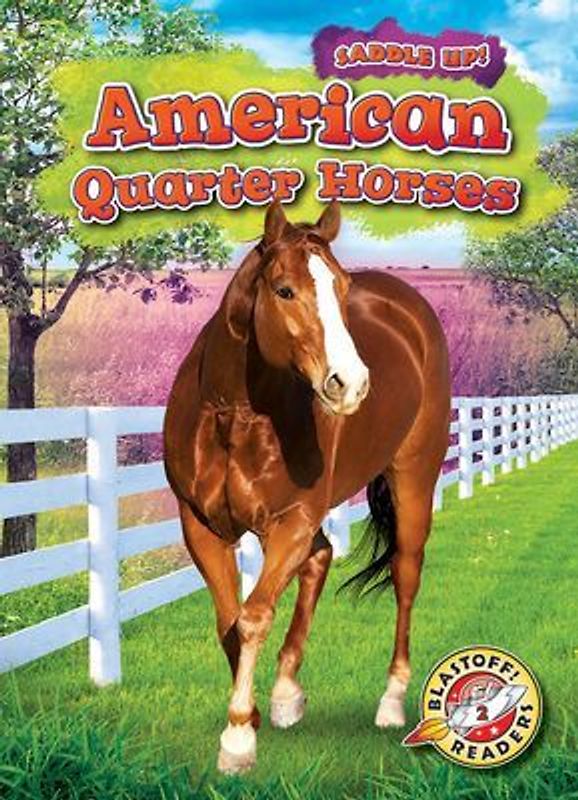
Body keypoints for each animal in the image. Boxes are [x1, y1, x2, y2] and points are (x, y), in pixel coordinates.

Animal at [163, 200, 450, 773]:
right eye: (284, 290)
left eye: (341, 287)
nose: (351, 383)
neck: (233, 417)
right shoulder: (201, 527)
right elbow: (228, 622)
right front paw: (254, 714)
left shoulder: (291, 521)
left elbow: (252, 617)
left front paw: (237, 739)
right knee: (321, 557)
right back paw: (287, 693)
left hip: (413, 480)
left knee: (405, 577)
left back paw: (391, 702)